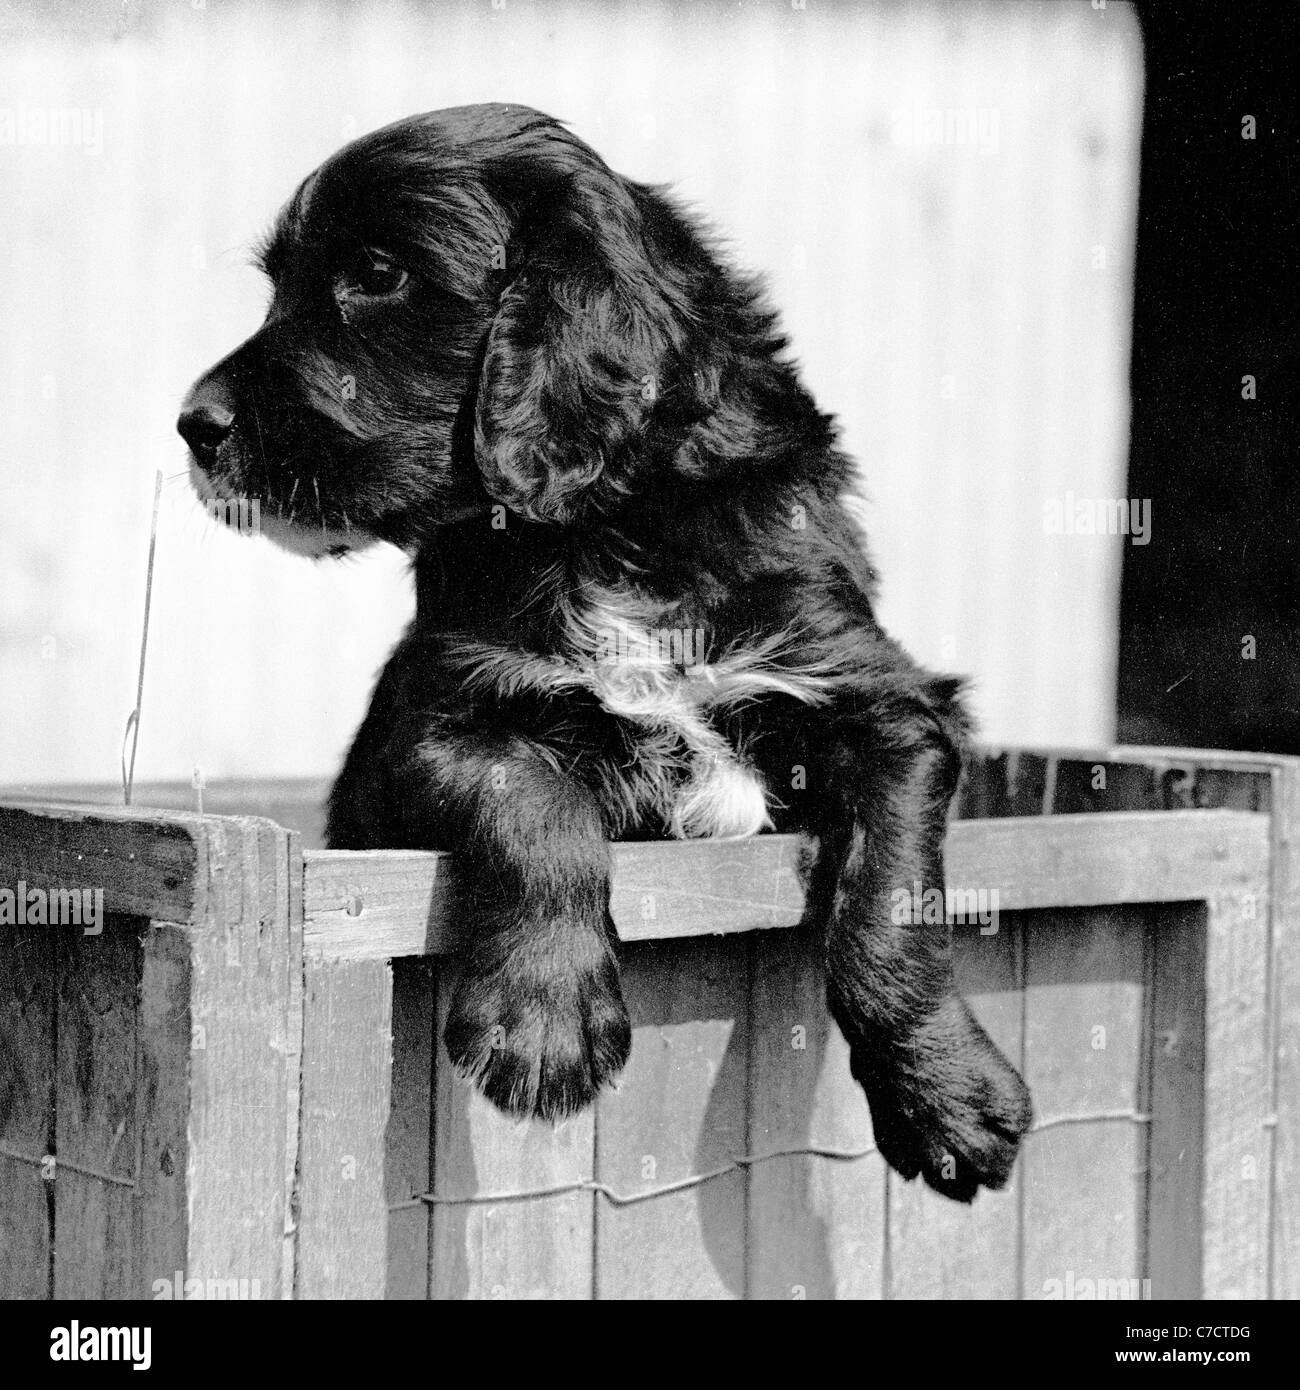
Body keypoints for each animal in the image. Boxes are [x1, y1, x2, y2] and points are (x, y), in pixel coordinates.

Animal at [183, 105, 1034, 1195]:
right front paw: (542, 1024)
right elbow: (534, 802)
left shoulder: (876, 698)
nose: (193, 426)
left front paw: (947, 1096)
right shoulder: (445, 712)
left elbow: (890, 893)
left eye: (377, 274)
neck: (605, 533)